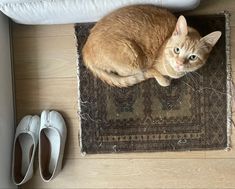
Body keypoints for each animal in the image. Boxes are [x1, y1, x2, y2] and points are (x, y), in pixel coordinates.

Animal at [81, 5, 221, 87]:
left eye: (193, 57)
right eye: (177, 50)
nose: (179, 63)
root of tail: (85, 51)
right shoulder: (149, 66)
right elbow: (156, 76)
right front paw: (164, 79)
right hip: (133, 59)